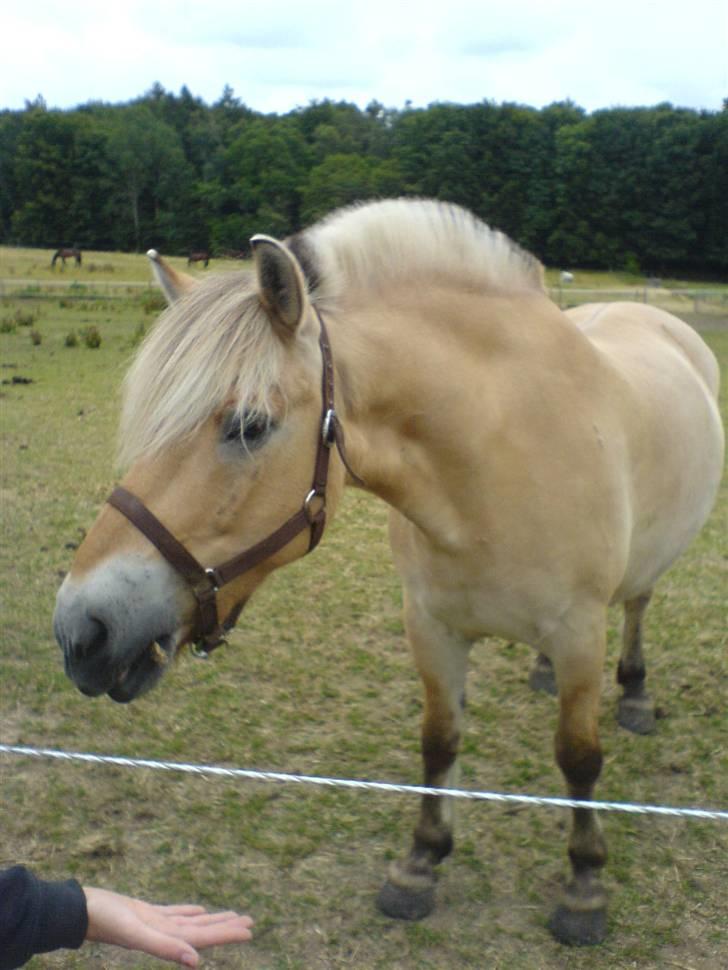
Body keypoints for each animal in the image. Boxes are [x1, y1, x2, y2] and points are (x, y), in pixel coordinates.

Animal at [52, 199, 724, 944]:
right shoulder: (430, 626)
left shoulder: (580, 632)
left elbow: (578, 756)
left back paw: (634, 694)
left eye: (250, 425)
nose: (83, 630)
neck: (495, 457)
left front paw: (584, 887)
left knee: (638, 604)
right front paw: (419, 865)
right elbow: (438, 741)